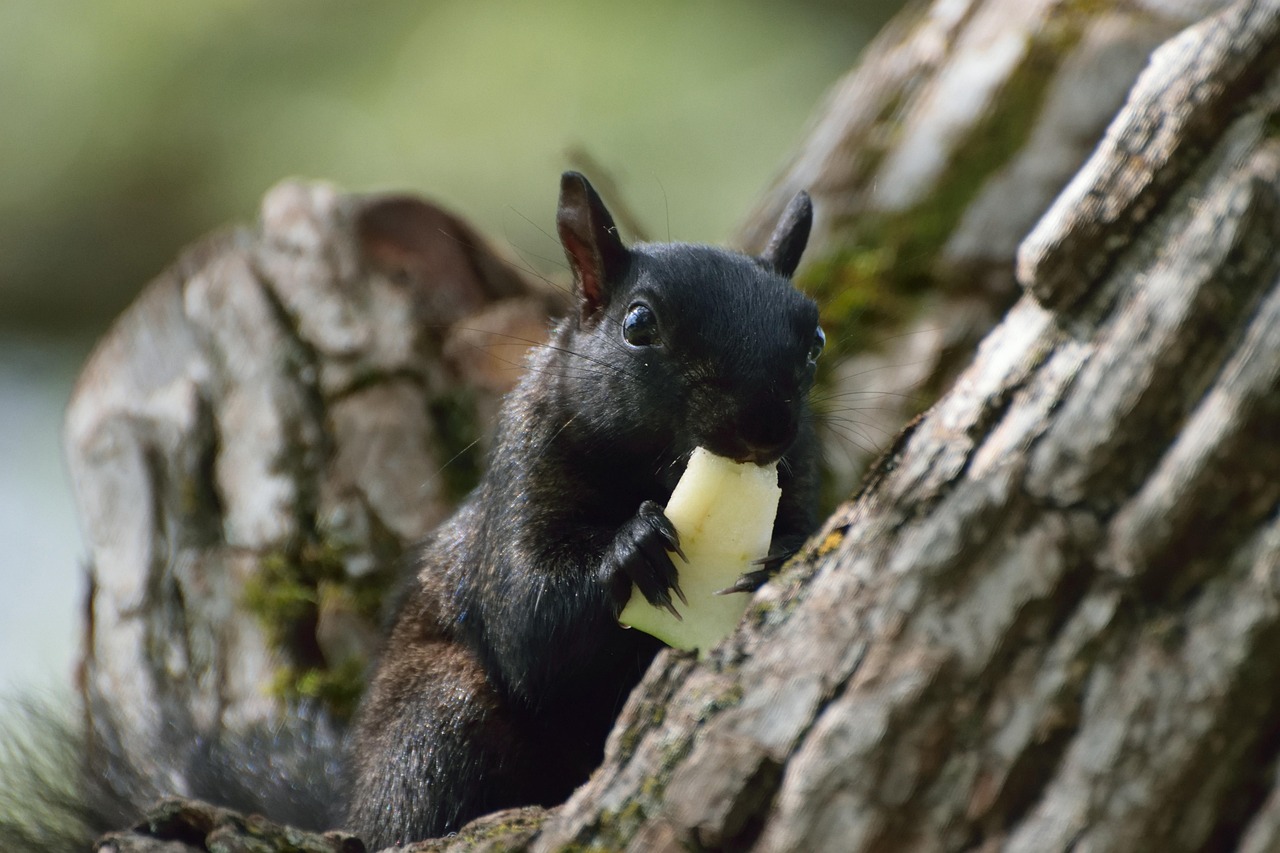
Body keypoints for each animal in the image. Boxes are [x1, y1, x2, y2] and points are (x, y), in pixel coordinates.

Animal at [343, 171, 819, 845]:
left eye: (816, 340)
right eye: (638, 324)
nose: (764, 428)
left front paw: (782, 553)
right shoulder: (522, 480)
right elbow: (528, 618)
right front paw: (631, 547)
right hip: (436, 717)